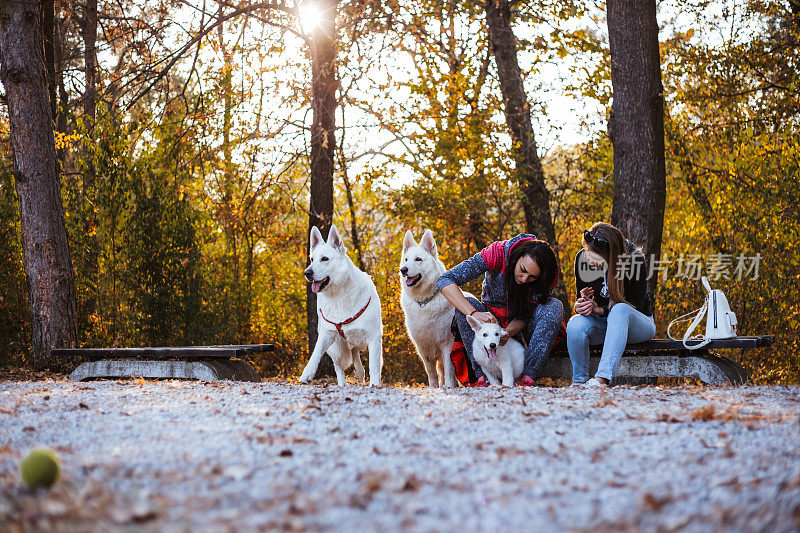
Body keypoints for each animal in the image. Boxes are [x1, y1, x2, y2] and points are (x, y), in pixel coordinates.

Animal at [302, 222, 386, 384]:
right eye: (312, 259)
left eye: (325, 259)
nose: (307, 273)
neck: (338, 295)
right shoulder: (326, 335)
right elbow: (316, 353)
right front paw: (307, 374)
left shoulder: (373, 337)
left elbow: (374, 364)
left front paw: (374, 383)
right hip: (337, 348)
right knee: (340, 364)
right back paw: (342, 383)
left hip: (361, 341)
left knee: (355, 350)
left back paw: (360, 372)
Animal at [400, 229, 456, 386]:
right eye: (406, 259)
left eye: (418, 259)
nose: (403, 270)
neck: (424, 302)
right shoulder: (423, 348)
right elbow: (431, 372)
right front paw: (434, 387)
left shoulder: (447, 344)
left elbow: (449, 371)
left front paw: (450, 387)